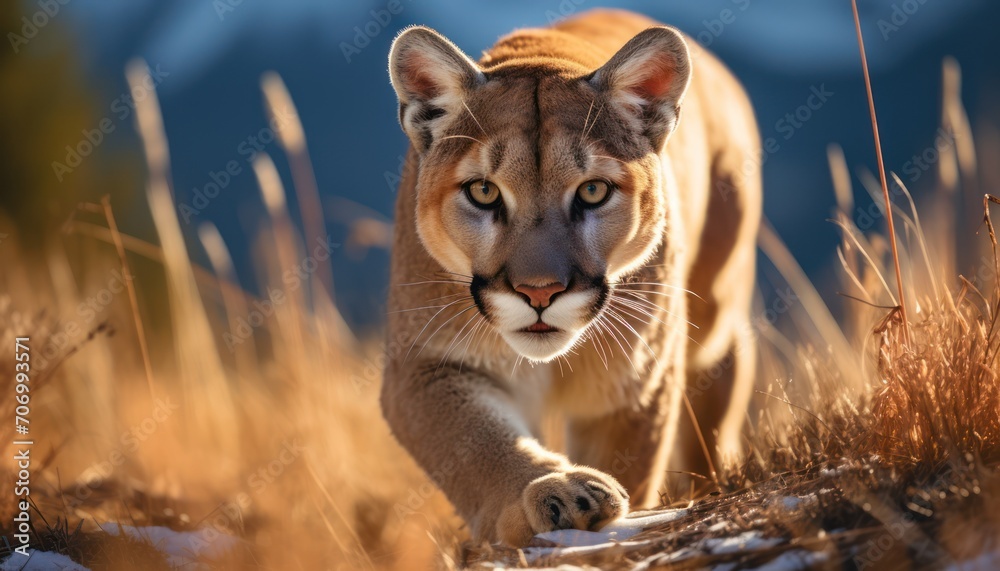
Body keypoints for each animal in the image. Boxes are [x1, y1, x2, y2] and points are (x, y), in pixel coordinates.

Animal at [381, 8, 761, 546]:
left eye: (593, 191)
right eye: (483, 191)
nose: (539, 292)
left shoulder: (636, 383)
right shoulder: (425, 363)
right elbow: (477, 443)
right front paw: (553, 491)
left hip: (716, 301)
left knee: (723, 360)